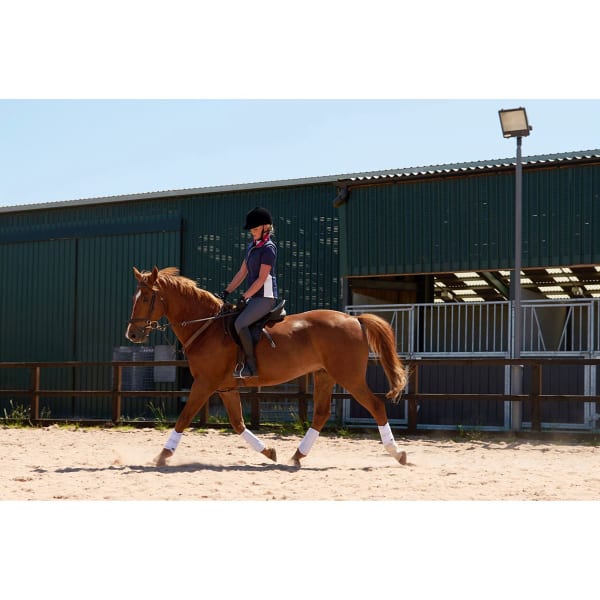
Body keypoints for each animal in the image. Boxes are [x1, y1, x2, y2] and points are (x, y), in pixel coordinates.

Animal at [125, 268, 408, 468]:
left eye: (147, 297)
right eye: (134, 297)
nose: (133, 334)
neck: (207, 327)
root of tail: (354, 319)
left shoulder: (205, 383)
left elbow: (184, 418)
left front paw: (163, 455)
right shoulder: (225, 387)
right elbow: (238, 423)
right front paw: (269, 452)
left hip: (349, 377)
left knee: (376, 406)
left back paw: (398, 453)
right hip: (325, 376)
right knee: (321, 414)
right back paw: (297, 455)